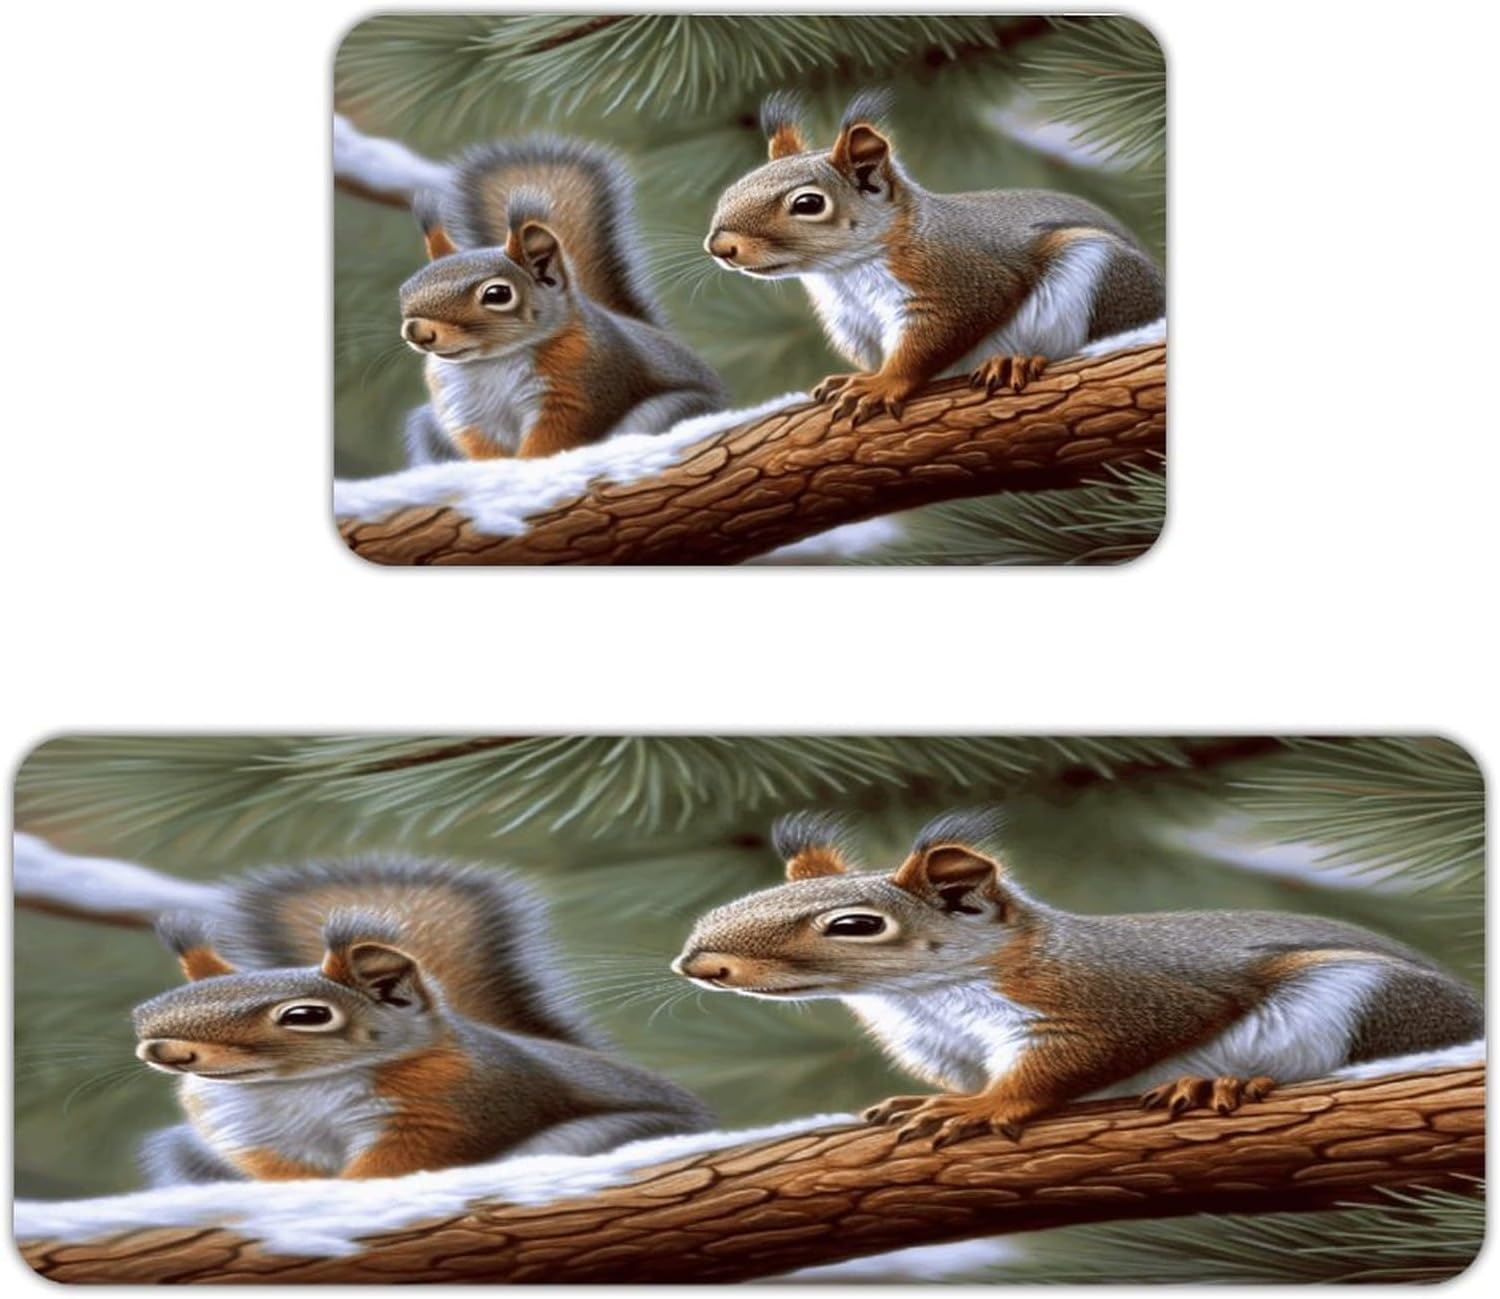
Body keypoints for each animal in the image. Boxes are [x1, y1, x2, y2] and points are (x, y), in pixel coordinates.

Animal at [132, 858, 713, 1184]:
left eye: (305, 1015)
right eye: (147, 1010)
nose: (165, 1051)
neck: (295, 1087)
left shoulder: (445, 1107)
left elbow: (398, 1160)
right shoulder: (248, 1132)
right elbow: (280, 1171)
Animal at [398, 135, 726, 464]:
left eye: (497, 294)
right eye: (406, 290)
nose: (417, 332)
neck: (491, 363)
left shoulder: (576, 389)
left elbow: (552, 438)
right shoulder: (464, 410)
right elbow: (483, 449)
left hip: (664, 411)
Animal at [673, 810, 1482, 1149]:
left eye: (854, 925)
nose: (699, 964)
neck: (927, 997)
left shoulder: (1109, 1001)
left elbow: (1068, 1064)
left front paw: (981, 1107)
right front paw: (932, 1098)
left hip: (1370, 999)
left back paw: (1220, 1081)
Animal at [704, 91, 1166, 425]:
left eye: (808, 203)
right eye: (734, 187)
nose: (719, 247)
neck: (846, 272)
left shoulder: (958, 281)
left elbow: (929, 344)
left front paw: (881, 384)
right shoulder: (853, 322)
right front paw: (862, 376)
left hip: (1105, 273)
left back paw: (1016, 359)